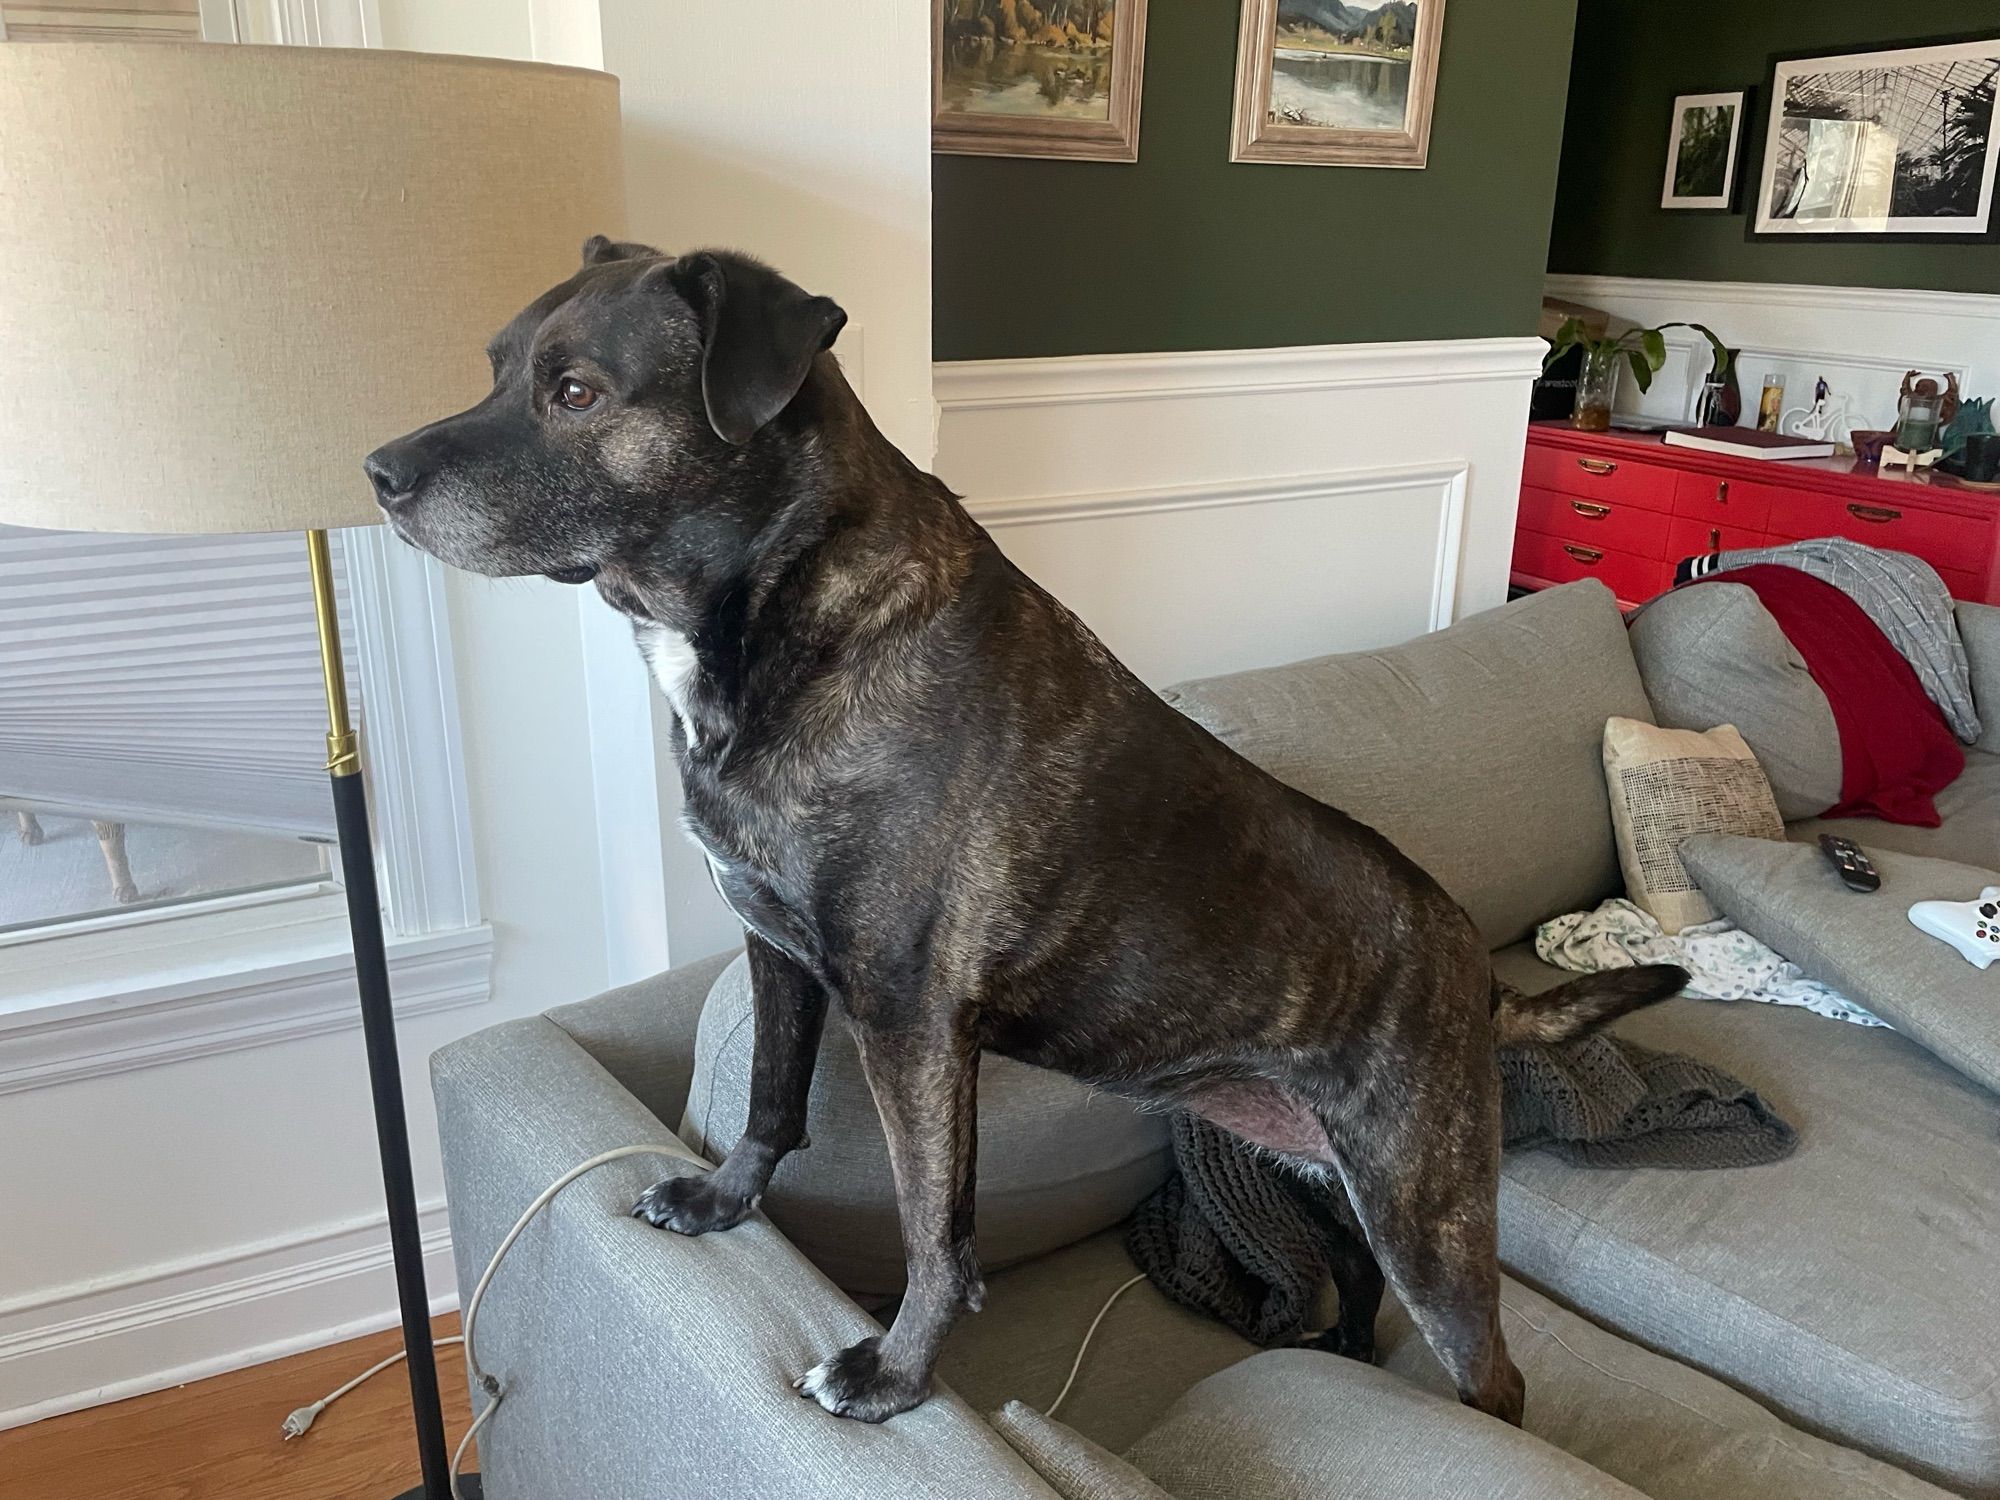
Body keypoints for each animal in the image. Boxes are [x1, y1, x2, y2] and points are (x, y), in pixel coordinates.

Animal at [372, 241, 1688, 1424]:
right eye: (495, 368)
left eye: (575, 392)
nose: (377, 470)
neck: (785, 618)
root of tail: (1476, 973)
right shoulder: (780, 955)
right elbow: (767, 1099)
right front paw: (721, 1203)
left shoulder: (906, 1022)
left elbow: (933, 1231)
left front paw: (895, 1376)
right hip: (1330, 1175)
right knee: (1357, 1275)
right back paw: (1349, 1361)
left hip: (1424, 1210)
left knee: (1494, 1376)